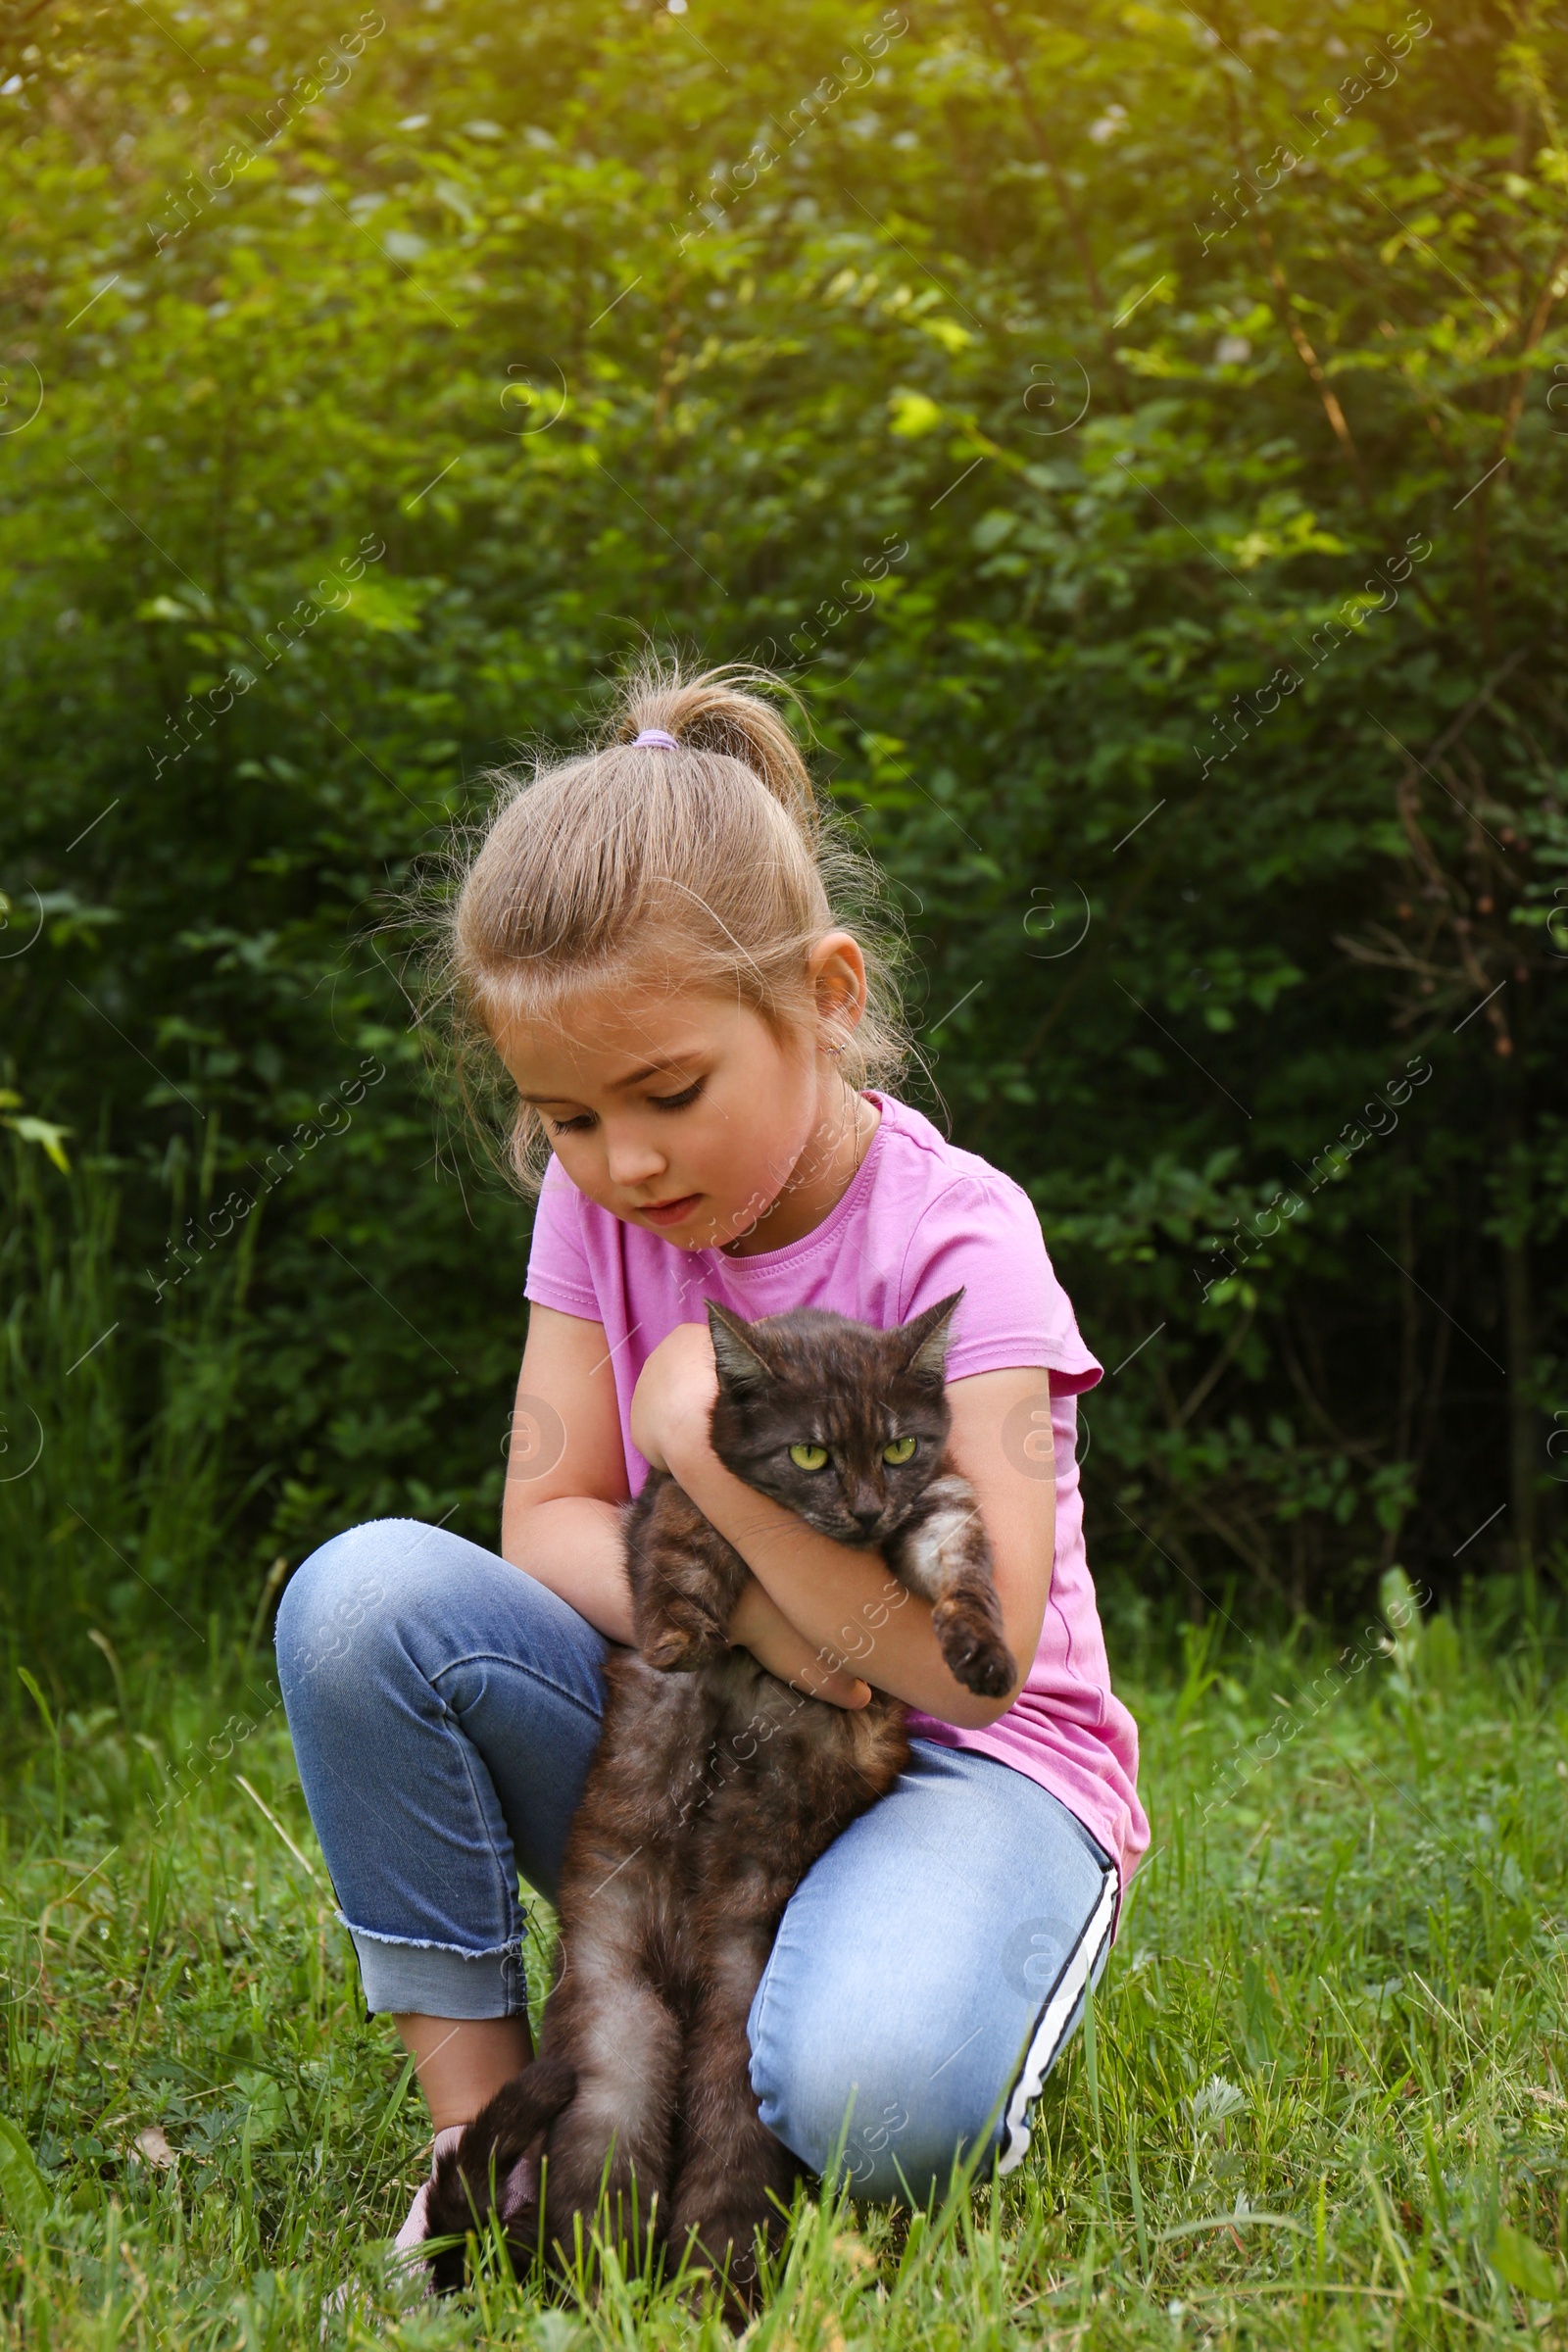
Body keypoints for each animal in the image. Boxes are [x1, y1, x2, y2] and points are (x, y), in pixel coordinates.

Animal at [425, 1307, 1020, 2314]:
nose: (868, 1510)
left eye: (898, 1446)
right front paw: (678, 1632)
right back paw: (617, 2299)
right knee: (603, 2211)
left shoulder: (940, 1501)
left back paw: (706, 2303)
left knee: (718, 2200)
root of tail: (688, 1977)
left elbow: (961, 1567)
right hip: (611, 2059)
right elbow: (683, 1533)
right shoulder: (678, 1491)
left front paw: (984, 1655)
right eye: (811, 1453)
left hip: (738, 2061)